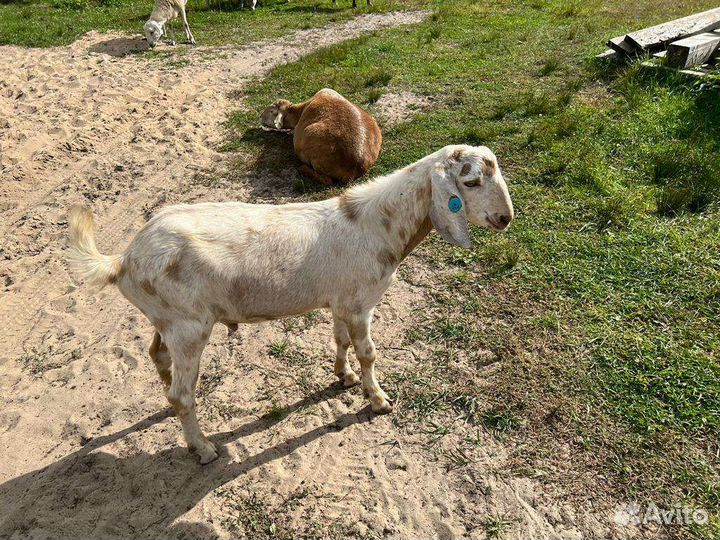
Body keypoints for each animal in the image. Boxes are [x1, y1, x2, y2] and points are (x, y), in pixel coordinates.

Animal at [66, 144, 514, 464]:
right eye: (471, 182)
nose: (505, 219)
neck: (378, 224)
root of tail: (124, 259)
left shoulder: (340, 301)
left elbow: (340, 341)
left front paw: (343, 376)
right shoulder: (360, 303)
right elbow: (368, 353)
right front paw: (377, 399)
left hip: (167, 320)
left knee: (157, 357)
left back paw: (170, 411)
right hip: (189, 326)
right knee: (182, 394)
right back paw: (203, 448)